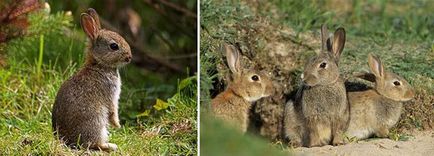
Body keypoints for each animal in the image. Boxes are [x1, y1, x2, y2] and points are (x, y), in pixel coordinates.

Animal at [51, 8, 131, 151]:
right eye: (114, 46)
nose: (129, 57)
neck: (99, 64)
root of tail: (67, 140)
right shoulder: (111, 95)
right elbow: (113, 111)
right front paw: (117, 125)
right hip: (97, 121)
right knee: (93, 144)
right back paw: (110, 146)